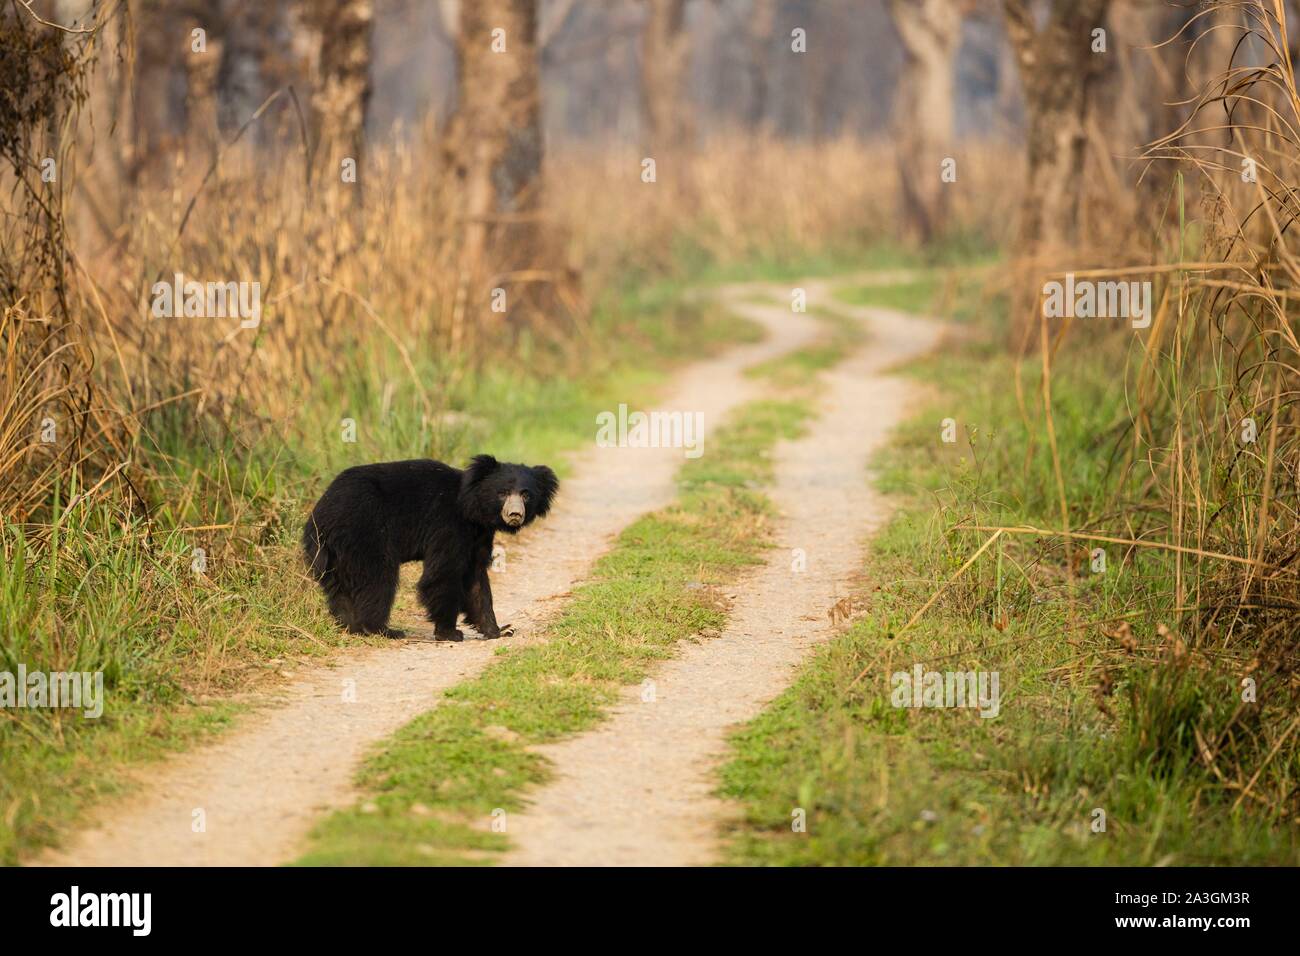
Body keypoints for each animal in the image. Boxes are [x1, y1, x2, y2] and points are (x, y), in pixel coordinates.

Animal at [304, 455, 559, 642]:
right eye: (503, 493)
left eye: (526, 495)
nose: (515, 514)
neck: (473, 510)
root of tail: (320, 514)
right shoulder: (448, 525)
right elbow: (443, 573)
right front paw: (450, 632)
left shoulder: (478, 535)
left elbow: (476, 579)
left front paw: (500, 630)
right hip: (365, 531)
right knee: (378, 579)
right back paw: (381, 629)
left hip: (335, 553)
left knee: (338, 587)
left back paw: (350, 625)